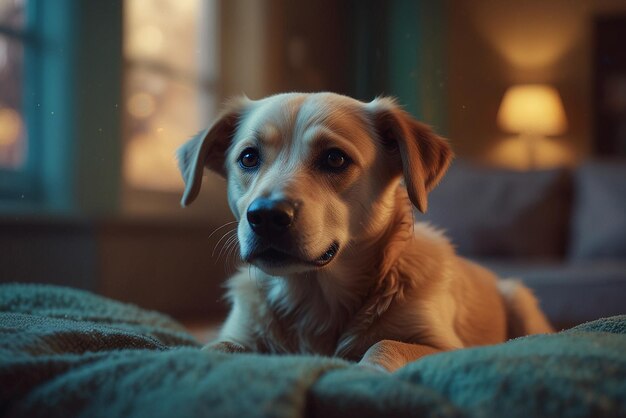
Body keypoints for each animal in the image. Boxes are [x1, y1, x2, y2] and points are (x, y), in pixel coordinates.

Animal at [176, 92, 552, 372]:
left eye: (335, 159)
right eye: (248, 158)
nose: (266, 216)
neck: (314, 297)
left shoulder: (445, 345)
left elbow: (385, 343)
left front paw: (367, 369)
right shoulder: (241, 333)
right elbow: (217, 347)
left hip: (520, 299)